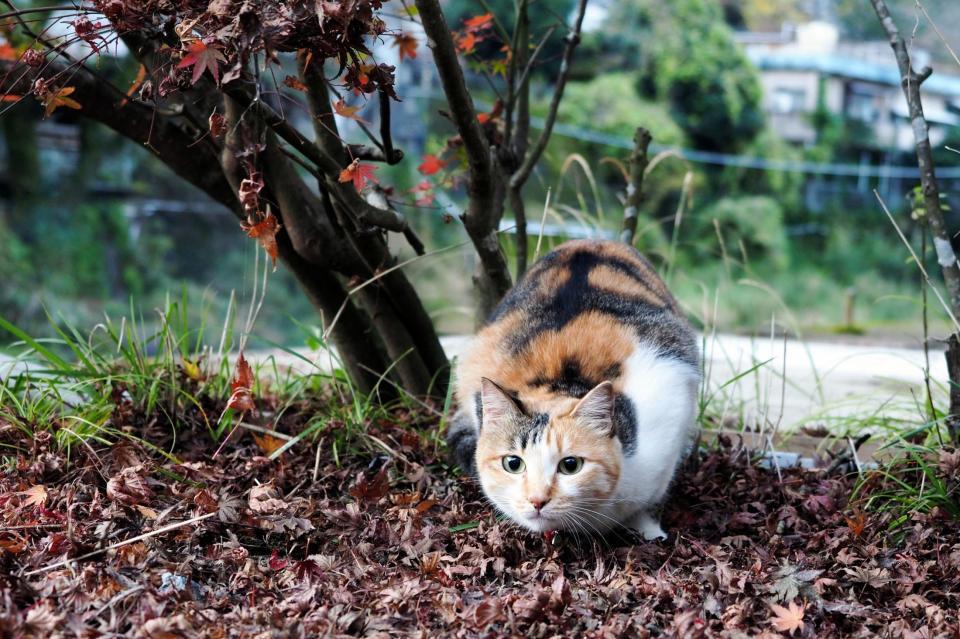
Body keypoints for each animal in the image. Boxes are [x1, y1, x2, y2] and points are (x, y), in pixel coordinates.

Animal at [446, 240, 700, 540]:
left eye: (570, 466)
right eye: (513, 464)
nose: (537, 500)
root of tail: (590, 241)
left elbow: (651, 503)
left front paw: (651, 533)